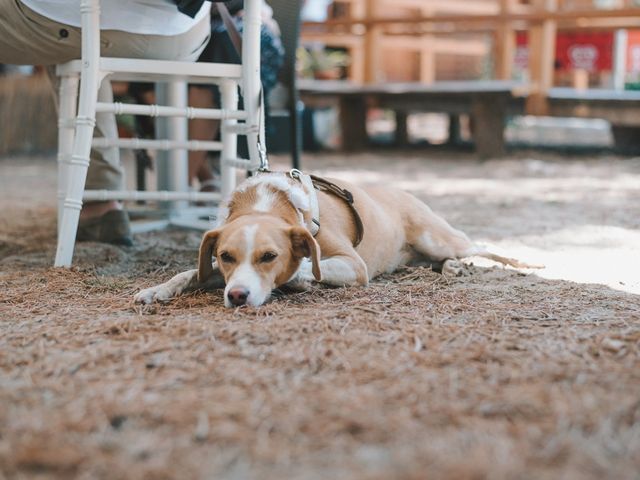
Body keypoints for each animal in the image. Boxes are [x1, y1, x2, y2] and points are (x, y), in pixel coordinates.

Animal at [134, 172, 536, 308]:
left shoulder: (354, 265)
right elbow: (188, 274)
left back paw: (527, 262)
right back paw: (451, 269)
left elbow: (311, 267)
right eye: (225, 256)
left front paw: (300, 280)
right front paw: (157, 290)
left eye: (270, 256)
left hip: (438, 237)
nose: (236, 296)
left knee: (481, 247)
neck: (268, 202)